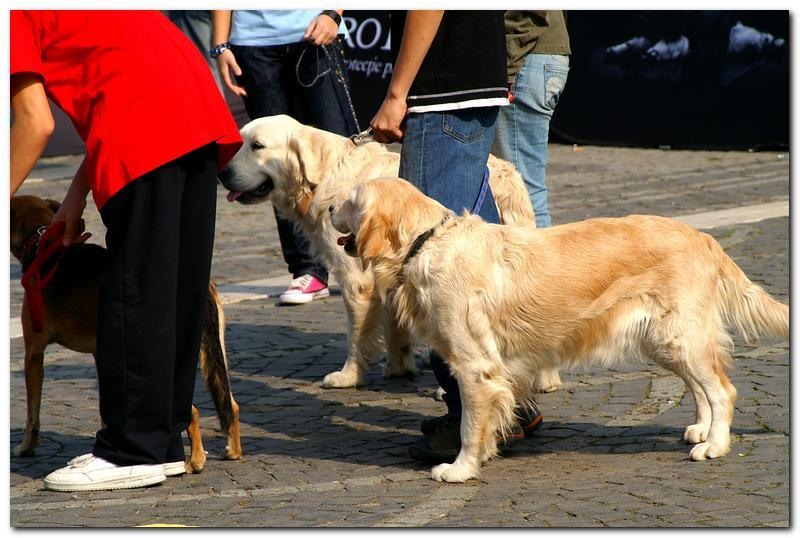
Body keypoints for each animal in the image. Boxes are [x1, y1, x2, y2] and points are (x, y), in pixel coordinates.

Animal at [217, 114, 561, 393]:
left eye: (257, 146)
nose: (222, 174)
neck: (325, 176)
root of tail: (505, 172)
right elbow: (395, 324)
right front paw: (399, 366)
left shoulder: (357, 278)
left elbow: (357, 336)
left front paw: (349, 376)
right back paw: (547, 380)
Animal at [330, 177, 789, 482]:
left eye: (352, 199)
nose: (328, 206)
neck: (426, 243)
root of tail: (703, 238)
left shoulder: (476, 368)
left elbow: (469, 425)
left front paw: (460, 468)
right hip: (665, 339)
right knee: (700, 386)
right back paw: (701, 428)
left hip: (679, 335)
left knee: (723, 390)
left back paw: (714, 445)